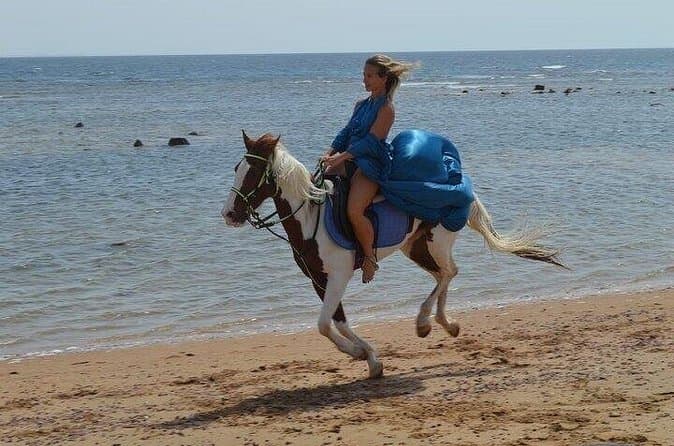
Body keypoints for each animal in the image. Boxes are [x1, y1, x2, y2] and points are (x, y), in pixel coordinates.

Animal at [222, 131, 565, 379]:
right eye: (237, 168)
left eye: (253, 173)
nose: (229, 214)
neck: (310, 220)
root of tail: (463, 190)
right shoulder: (318, 279)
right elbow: (337, 322)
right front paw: (368, 359)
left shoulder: (338, 276)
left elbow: (323, 324)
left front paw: (364, 356)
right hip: (416, 247)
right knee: (444, 274)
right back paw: (445, 323)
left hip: (434, 243)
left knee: (449, 272)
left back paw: (425, 322)